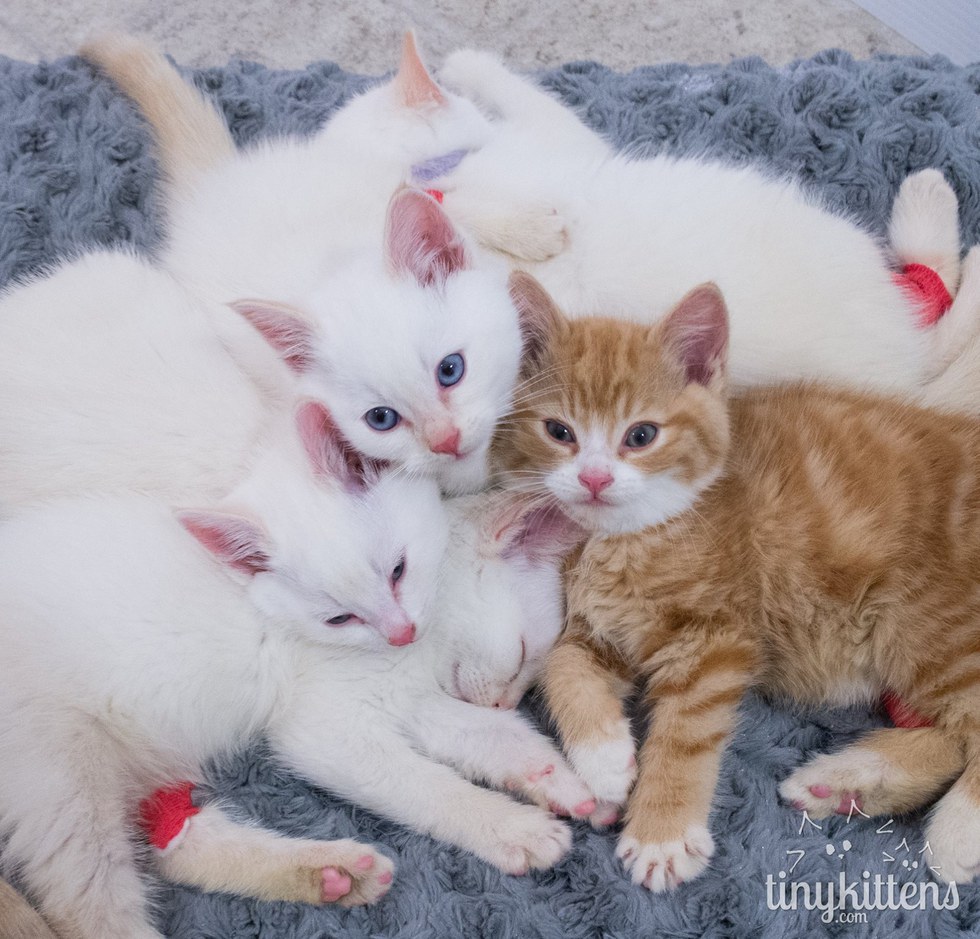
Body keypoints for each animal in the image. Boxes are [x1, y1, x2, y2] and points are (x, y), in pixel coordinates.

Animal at [498, 276, 980, 892]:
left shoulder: (715, 638)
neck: (627, 537)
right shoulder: (596, 627)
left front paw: (662, 832)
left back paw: (955, 827)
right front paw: (604, 757)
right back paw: (846, 780)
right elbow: (562, 665)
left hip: (929, 623)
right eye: (559, 432)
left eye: (641, 435)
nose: (595, 478)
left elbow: (687, 730)